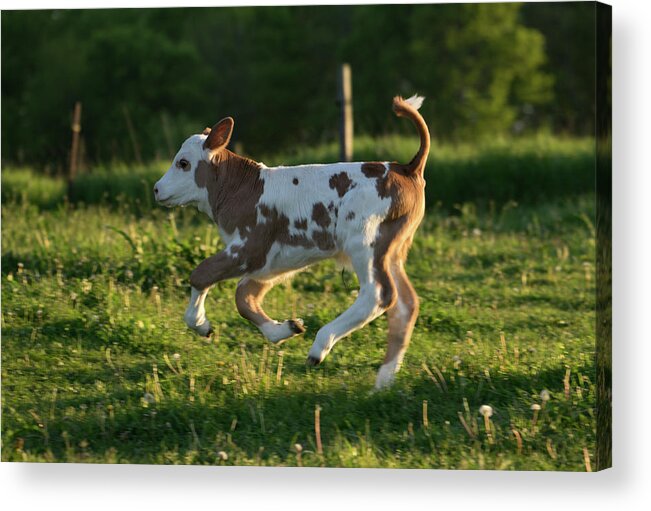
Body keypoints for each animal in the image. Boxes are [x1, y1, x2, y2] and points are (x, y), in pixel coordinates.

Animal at [155, 95, 430, 388]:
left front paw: (199, 322)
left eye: (183, 163)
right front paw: (283, 329)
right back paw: (384, 380)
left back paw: (321, 346)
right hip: (393, 251)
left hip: (364, 242)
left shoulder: (248, 248)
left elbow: (201, 274)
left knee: (378, 293)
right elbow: (244, 297)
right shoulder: (271, 260)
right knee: (406, 304)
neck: (242, 188)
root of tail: (406, 168)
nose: (157, 188)